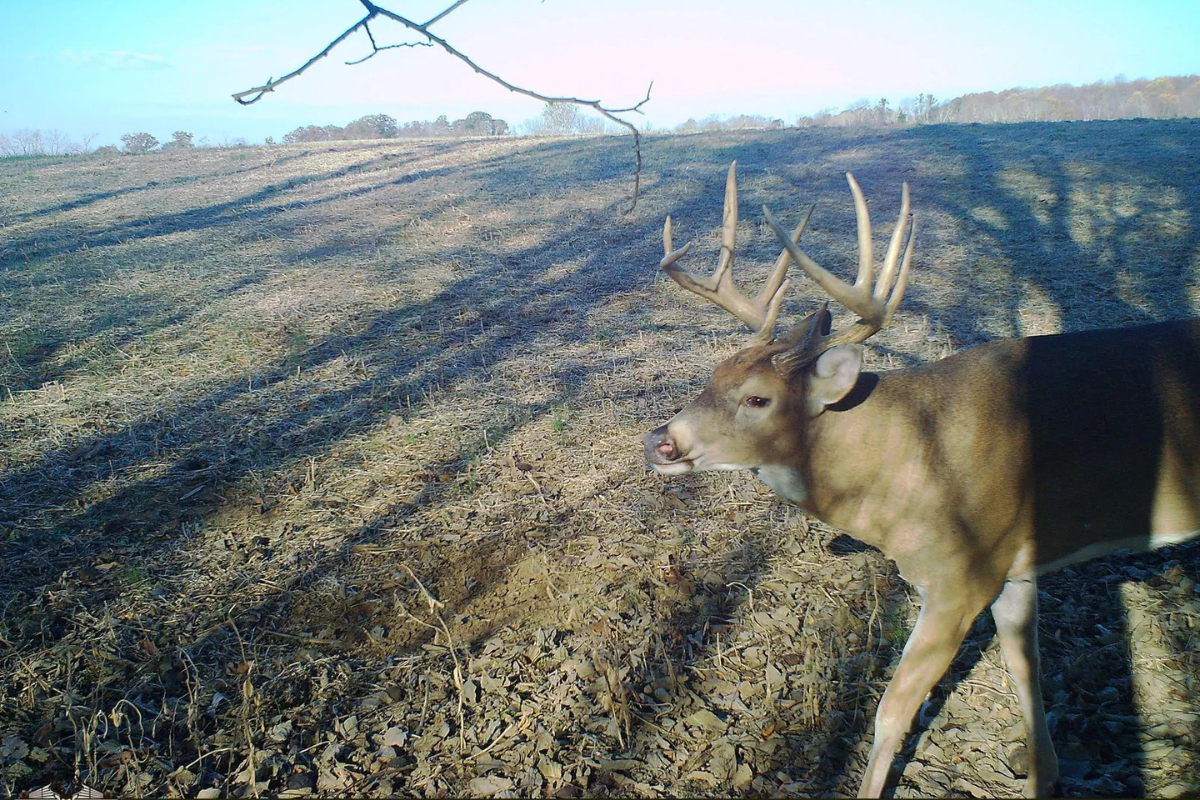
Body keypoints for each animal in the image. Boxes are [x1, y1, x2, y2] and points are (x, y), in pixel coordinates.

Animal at [643, 162, 1200, 797]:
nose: (659, 442)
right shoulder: (1011, 568)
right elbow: (1023, 669)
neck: (909, 466)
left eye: (758, 398)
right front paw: (1043, 774)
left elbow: (892, 711)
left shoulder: (965, 573)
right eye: (712, 375)